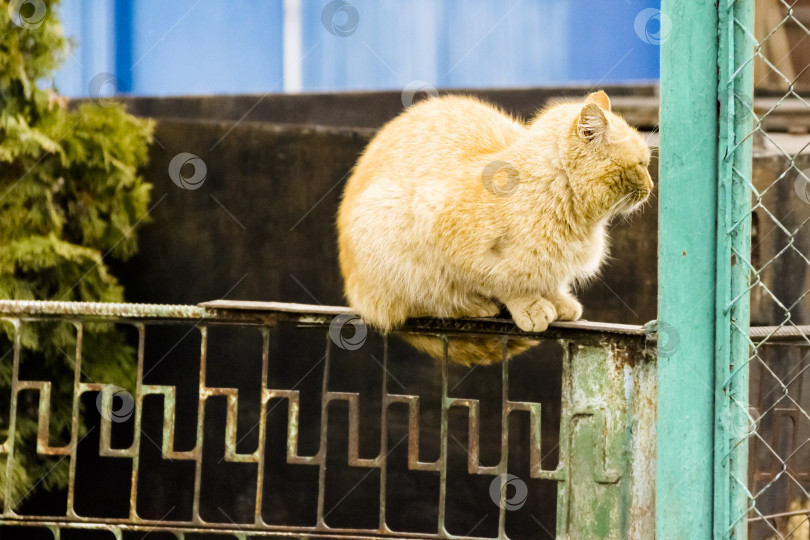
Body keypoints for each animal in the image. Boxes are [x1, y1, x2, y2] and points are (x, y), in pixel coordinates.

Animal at [334, 90, 652, 364]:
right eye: (641, 164)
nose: (651, 186)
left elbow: (547, 279)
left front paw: (557, 300)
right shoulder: (451, 240)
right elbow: (504, 282)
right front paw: (530, 306)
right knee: (414, 307)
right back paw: (472, 306)